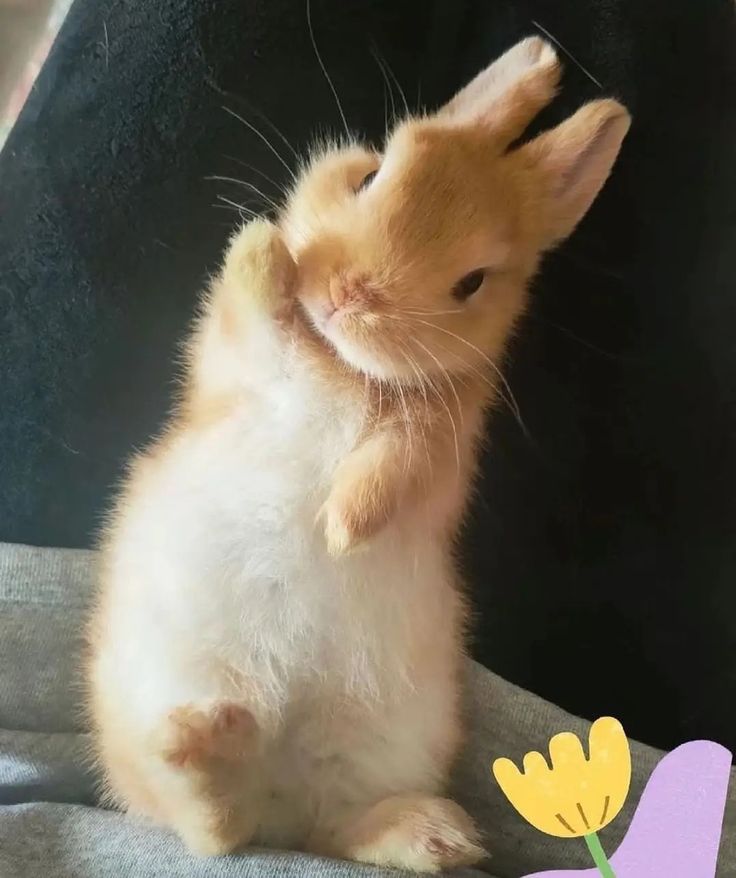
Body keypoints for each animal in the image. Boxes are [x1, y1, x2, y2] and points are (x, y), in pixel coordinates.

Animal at [85, 37, 628, 876]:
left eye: (472, 282)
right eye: (369, 174)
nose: (347, 296)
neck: (342, 360)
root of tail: (275, 798)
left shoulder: (437, 450)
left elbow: (391, 466)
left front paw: (343, 526)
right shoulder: (235, 367)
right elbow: (254, 315)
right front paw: (262, 248)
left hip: (377, 752)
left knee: (303, 829)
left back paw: (434, 835)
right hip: (153, 703)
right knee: (212, 829)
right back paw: (204, 742)